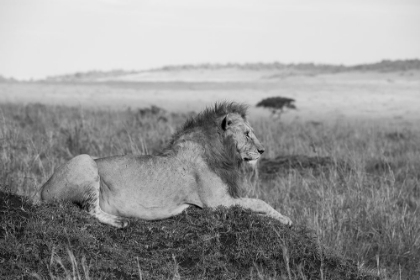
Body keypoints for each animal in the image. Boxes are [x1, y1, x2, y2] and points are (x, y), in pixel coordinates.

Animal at [41, 103, 292, 228]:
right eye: (248, 134)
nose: (262, 150)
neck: (222, 153)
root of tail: (42, 188)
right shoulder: (215, 202)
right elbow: (259, 202)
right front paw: (286, 220)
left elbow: (256, 202)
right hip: (85, 160)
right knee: (90, 209)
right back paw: (120, 222)